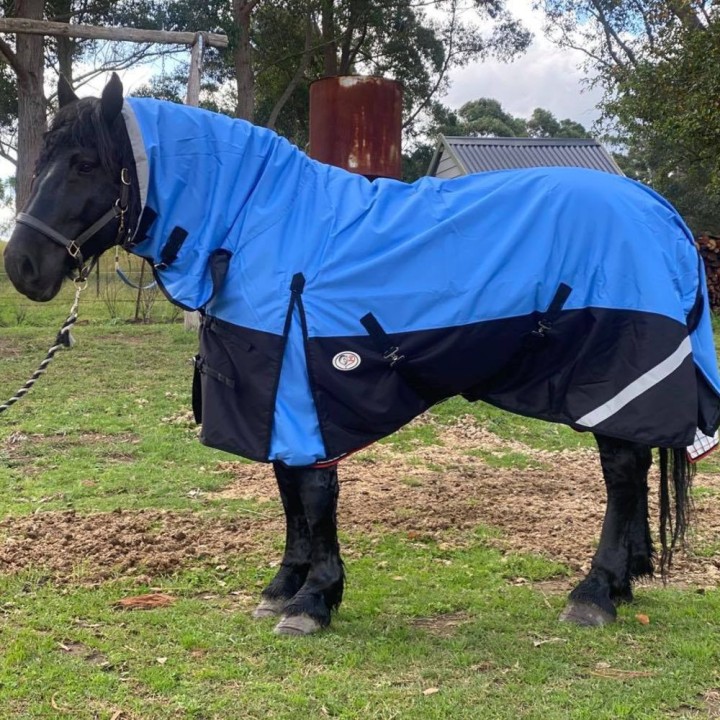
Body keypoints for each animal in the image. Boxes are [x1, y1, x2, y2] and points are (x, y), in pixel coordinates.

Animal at [5, 73, 720, 636]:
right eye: (43, 162)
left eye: (85, 164)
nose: (22, 267)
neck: (257, 222)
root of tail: (661, 212)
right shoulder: (274, 390)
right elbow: (287, 488)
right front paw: (284, 588)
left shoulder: (301, 384)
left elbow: (314, 492)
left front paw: (314, 600)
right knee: (631, 470)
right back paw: (624, 580)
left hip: (617, 378)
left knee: (621, 473)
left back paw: (595, 593)